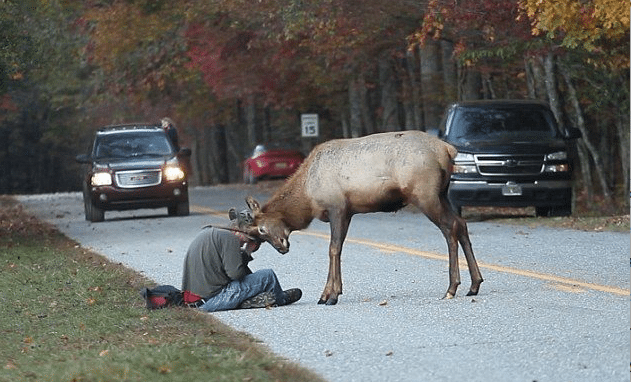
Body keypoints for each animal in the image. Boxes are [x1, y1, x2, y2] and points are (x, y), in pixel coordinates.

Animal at [247, 131, 484, 304]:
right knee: (461, 224)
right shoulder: (348, 212)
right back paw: (474, 284)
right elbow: (339, 248)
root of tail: (447, 149)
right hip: (442, 194)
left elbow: (333, 249)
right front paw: (332, 292)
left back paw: (451, 288)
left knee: (449, 228)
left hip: (425, 195)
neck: (307, 197)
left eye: (262, 229)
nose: (281, 247)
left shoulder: (337, 207)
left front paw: (329, 295)